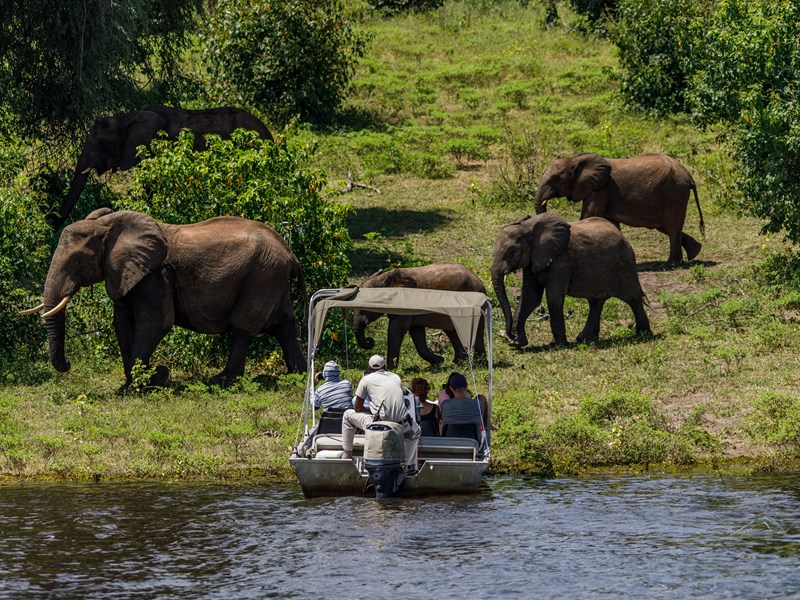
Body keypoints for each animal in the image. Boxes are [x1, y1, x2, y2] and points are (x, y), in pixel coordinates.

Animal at [25, 210, 304, 390]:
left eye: (77, 260)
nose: (68, 364)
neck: (107, 225)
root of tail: (291, 253)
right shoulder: (126, 273)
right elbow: (123, 323)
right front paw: (140, 382)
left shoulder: (155, 274)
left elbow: (155, 322)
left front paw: (141, 384)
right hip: (272, 278)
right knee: (285, 324)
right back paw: (298, 375)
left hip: (262, 275)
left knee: (244, 325)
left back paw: (221, 381)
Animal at [354, 264, 488, 370]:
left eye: (363, 307)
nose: (370, 341)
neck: (384, 280)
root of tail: (480, 282)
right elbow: (416, 333)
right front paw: (439, 362)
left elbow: (396, 330)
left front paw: (390, 369)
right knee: (452, 331)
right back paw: (458, 363)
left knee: (476, 330)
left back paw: (479, 364)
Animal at [490, 214, 652, 346]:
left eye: (513, 252)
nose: (510, 336)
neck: (528, 227)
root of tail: (622, 235)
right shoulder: (532, 262)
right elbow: (530, 298)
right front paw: (518, 344)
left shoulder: (562, 262)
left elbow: (553, 298)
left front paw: (559, 345)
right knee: (596, 302)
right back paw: (584, 339)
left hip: (625, 264)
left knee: (632, 297)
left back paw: (643, 335)